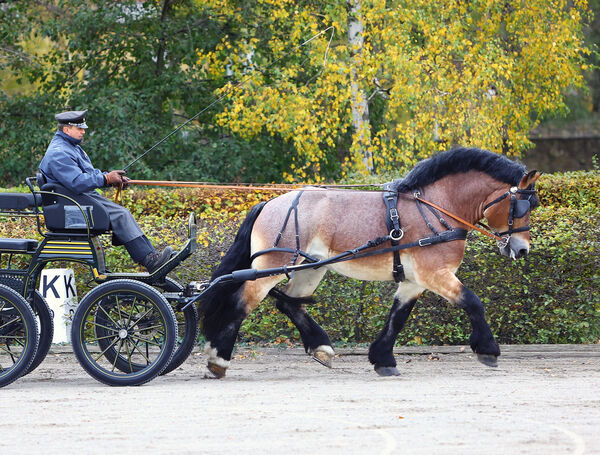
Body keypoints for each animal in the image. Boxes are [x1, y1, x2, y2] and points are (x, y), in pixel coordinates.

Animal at [199, 149, 540, 378]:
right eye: (520, 206)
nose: (522, 249)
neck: (437, 207)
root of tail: (269, 202)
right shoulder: (435, 274)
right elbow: (473, 302)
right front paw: (488, 350)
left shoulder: (413, 281)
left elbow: (397, 317)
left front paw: (383, 359)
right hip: (271, 268)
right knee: (242, 303)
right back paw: (218, 360)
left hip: (310, 269)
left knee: (289, 304)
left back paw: (321, 348)